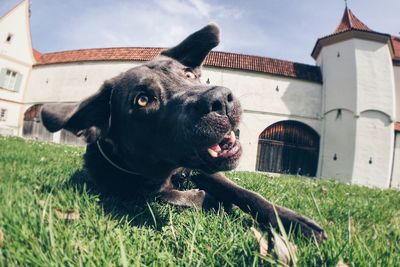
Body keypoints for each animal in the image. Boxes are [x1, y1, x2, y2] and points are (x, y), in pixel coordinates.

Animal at [39, 24, 324, 243]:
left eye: (187, 74)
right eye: (142, 100)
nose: (222, 100)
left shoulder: (205, 171)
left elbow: (245, 192)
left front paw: (293, 221)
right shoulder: (133, 189)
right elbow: (172, 196)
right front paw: (208, 199)